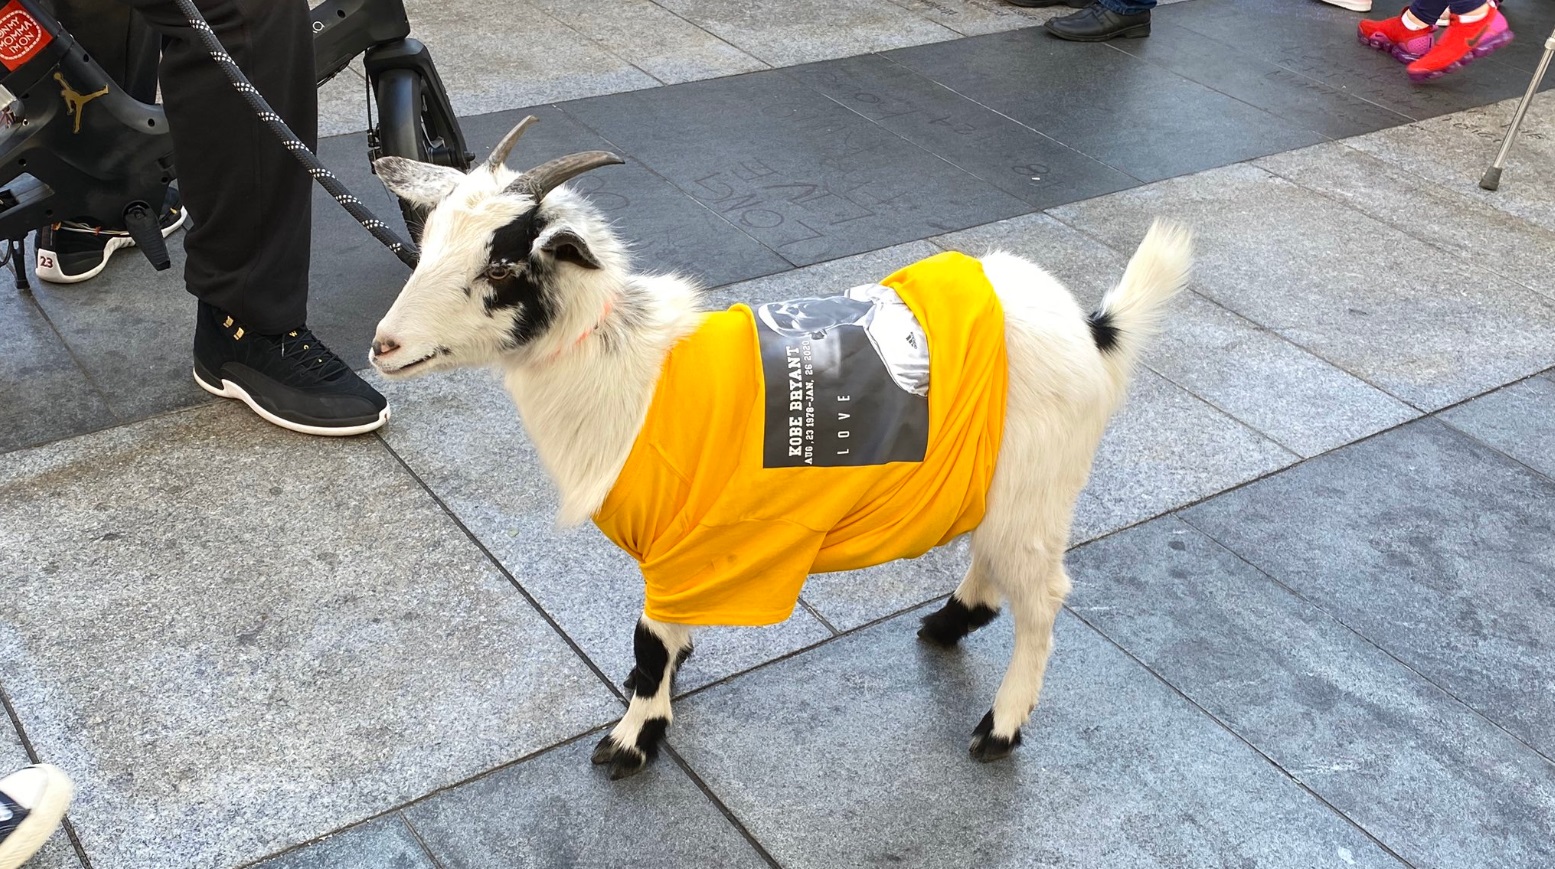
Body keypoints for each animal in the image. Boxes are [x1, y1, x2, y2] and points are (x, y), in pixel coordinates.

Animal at [366, 117, 1188, 783]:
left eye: (502, 265)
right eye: (427, 243)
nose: (383, 346)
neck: (631, 369)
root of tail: (1092, 330)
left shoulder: (679, 532)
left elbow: (648, 640)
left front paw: (633, 738)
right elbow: (665, 636)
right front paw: (662, 690)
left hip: (1037, 483)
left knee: (1043, 597)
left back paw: (1001, 726)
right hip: (1005, 484)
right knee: (999, 563)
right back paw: (949, 624)